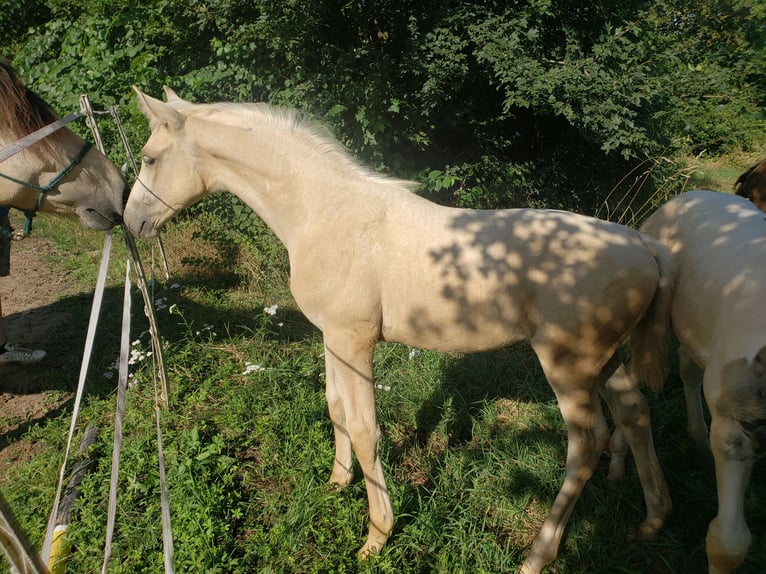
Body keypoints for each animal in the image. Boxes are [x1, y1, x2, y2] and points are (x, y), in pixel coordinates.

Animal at [123, 86, 676, 574]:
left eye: (148, 159)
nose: (129, 222)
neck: (325, 212)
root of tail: (645, 247)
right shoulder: (332, 339)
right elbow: (336, 409)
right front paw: (336, 482)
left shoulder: (354, 342)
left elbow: (367, 429)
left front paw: (376, 536)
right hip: (605, 362)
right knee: (635, 413)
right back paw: (653, 520)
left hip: (568, 367)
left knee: (586, 444)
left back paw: (537, 555)